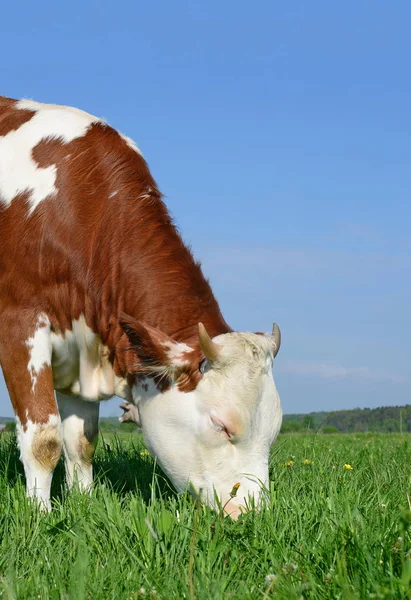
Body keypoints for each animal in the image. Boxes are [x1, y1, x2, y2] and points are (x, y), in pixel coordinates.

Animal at [0, 96, 284, 516]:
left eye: (274, 430)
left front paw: (85, 504)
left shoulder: (79, 343)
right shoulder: (20, 324)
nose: (253, 515)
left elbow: (81, 441)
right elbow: (44, 439)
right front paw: (40, 516)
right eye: (222, 425)